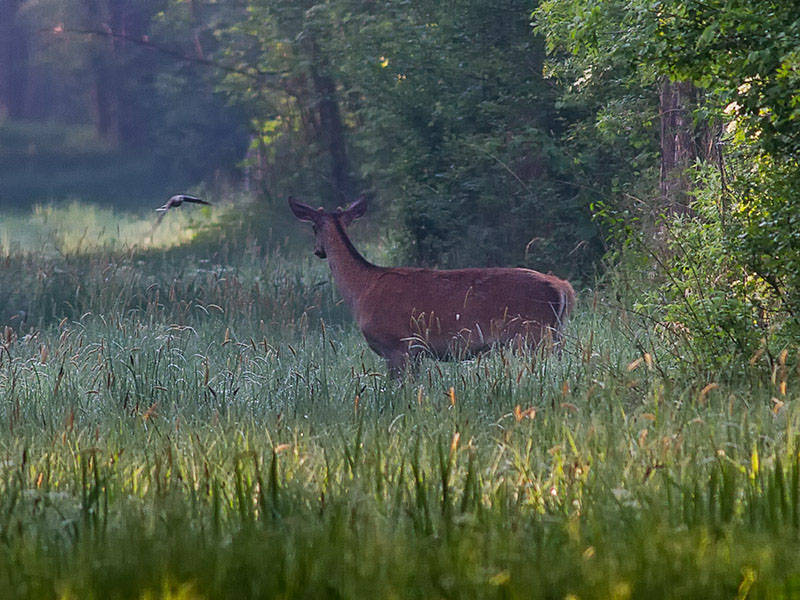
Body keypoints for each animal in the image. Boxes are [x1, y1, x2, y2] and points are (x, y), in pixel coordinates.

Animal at [288, 195, 576, 378]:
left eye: (313, 227)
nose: (318, 251)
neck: (362, 289)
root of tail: (562, 288)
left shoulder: (397, 346)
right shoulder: (415, 353)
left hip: (531, 336)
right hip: (553, 334)